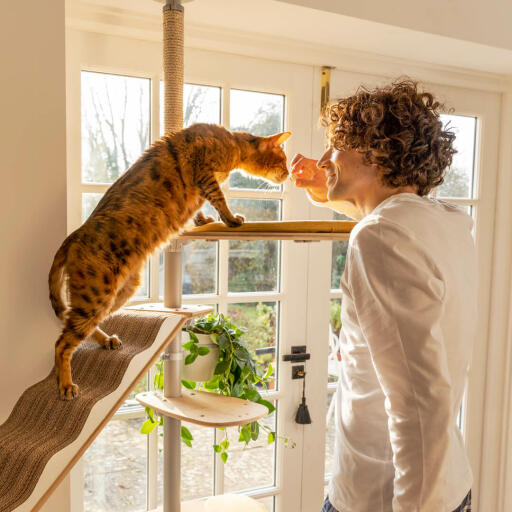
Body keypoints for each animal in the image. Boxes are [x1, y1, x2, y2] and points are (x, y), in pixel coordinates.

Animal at [49, 123, 290, 400]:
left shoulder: (199, 188)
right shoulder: (204, 171)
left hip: (119, 292)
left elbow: (199, 210)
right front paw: (231, 219)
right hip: (96, 294)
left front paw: (204, 221)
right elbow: (220, 200)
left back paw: (105, 340)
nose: (289, 174)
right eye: (283, 160)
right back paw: (66, 384)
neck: (231, 143)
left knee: (82, 326)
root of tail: (74, 234)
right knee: (62, 342)